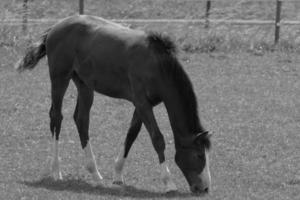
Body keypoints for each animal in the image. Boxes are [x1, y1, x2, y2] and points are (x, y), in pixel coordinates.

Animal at [15, 14, 212, 195]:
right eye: (199, 155)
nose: (204, 188)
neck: (157, 65)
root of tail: (55, 28)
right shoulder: (142, 103)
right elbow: (157, 139)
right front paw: (169, 183)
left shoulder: (142, 105)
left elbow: (131, 134)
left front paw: (117, 175)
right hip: (60, 79)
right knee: (56, 117)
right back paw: (56, 171)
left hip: (85, 85)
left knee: (81, 120)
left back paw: (95, 174)